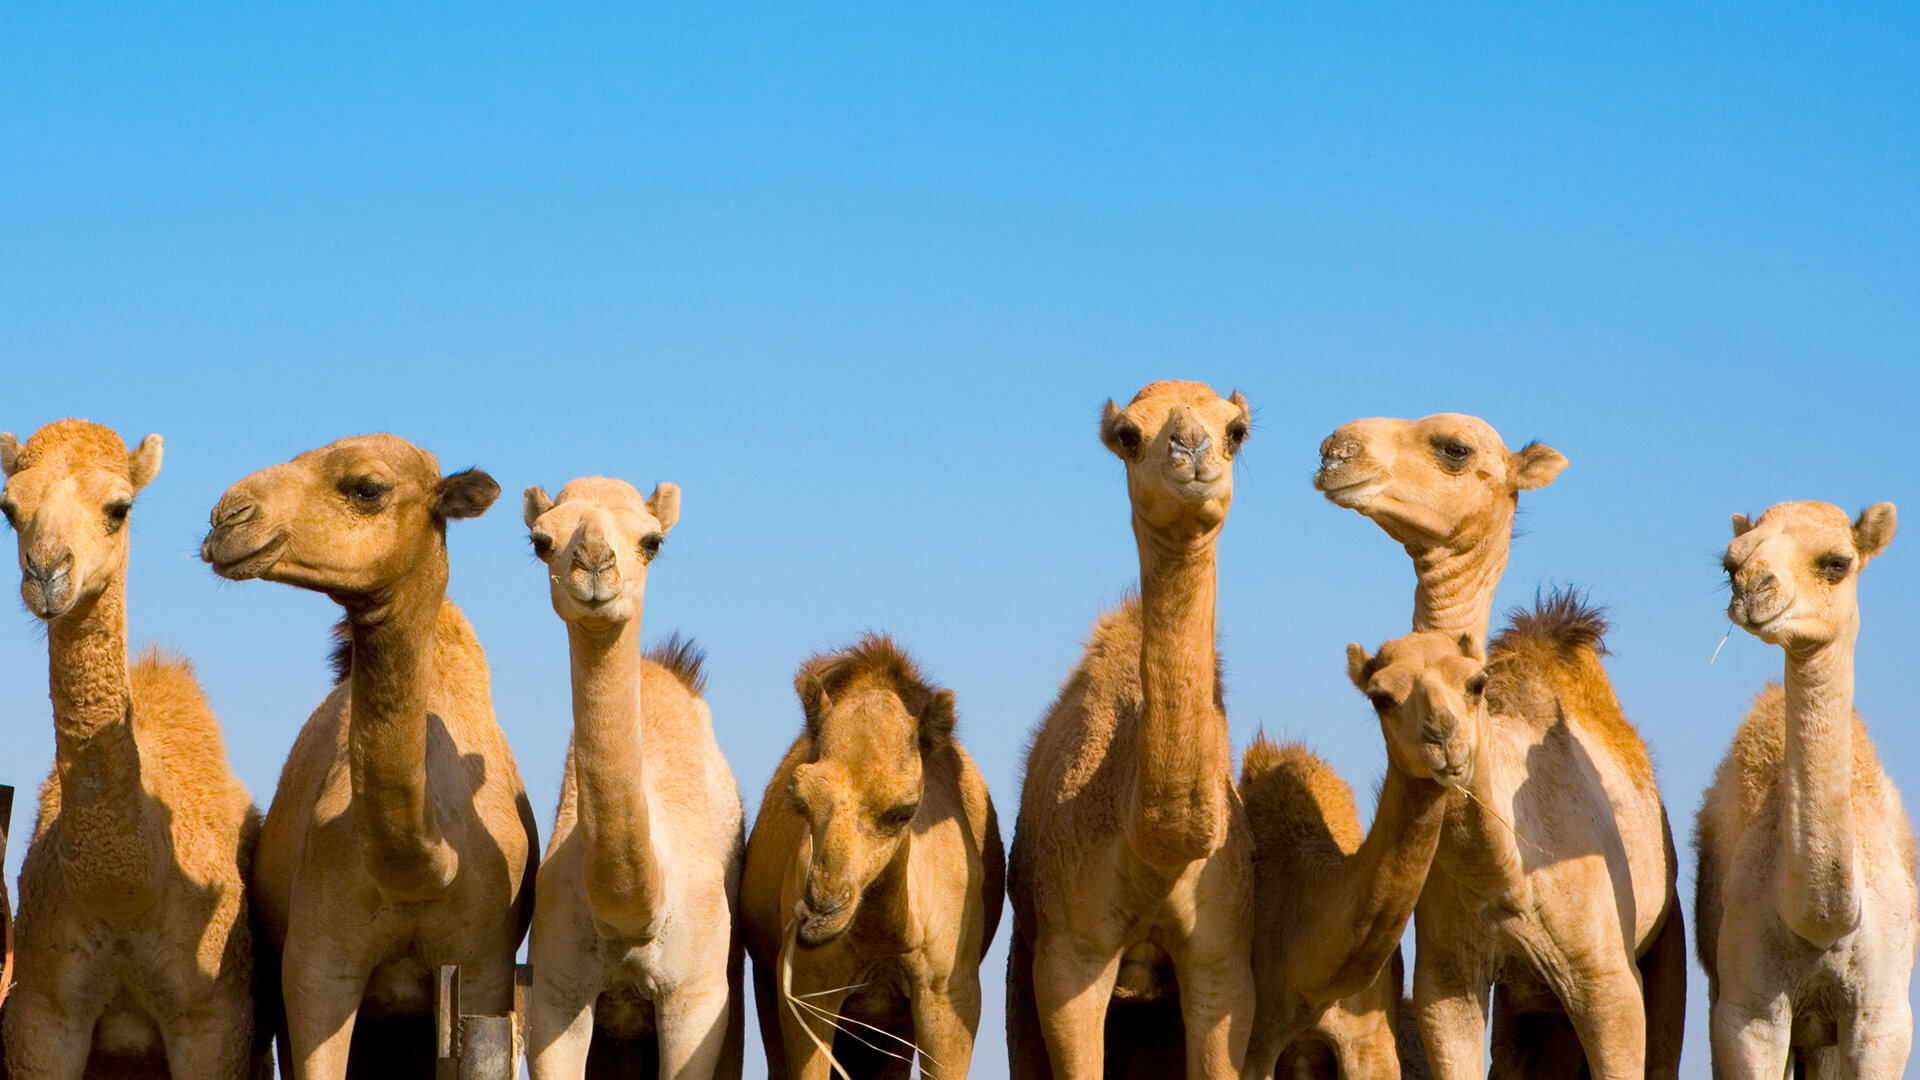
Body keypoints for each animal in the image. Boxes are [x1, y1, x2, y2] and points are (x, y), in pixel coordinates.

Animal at [0, 419, 262, 1078]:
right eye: (9, 509)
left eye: (119, 509)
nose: (46, 575)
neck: (125, 889)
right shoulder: (40, 1015)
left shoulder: (215, 1019)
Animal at [520, 477, 745, 1079]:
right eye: (541, 542)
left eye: (652, 541)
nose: (596, 564)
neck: (632, 917)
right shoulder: (555, 994)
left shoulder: (697, 995)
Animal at [1314, 413, 1684, 1078]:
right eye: (1381, 695)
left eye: (1454, 449)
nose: (1336, 450)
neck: (1507, 864)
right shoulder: (1447, 986)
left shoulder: (1609, 981)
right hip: (1528, 1015)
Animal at [1694, 501, 1916, 1078]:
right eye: (1730, 563)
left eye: (1838, 562)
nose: (1752, 585)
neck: (1820, 924)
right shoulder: (1747, 1013)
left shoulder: (1883, 1018)